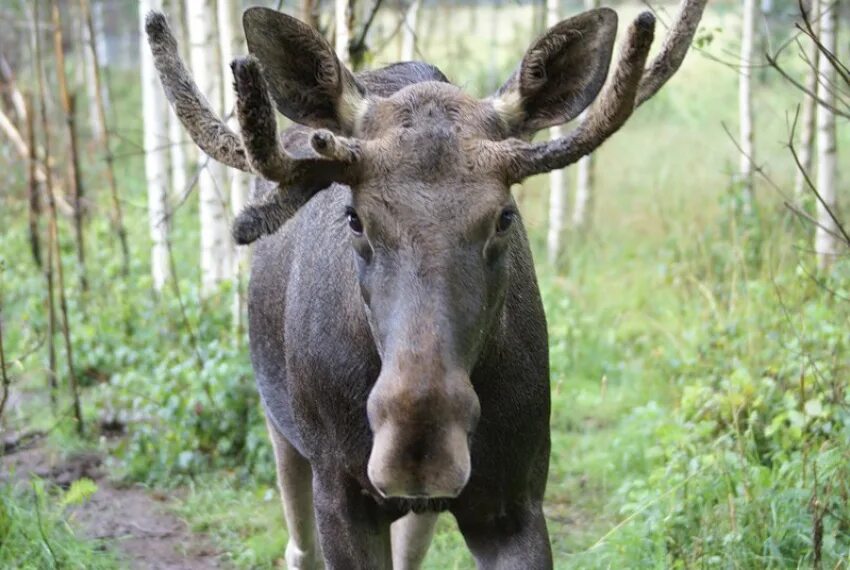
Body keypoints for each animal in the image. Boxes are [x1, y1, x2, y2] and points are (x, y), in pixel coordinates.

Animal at [146, 2, 704, 564]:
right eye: (355, 219)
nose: (418, 448)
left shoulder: (515, 499)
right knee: (299, 547)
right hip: (282, 431)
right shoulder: (341, 493)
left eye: (505, 217)